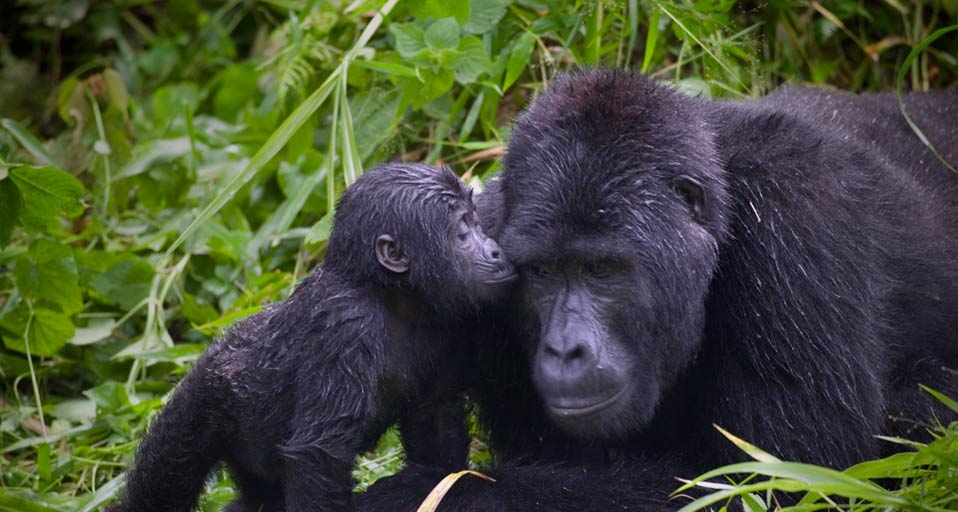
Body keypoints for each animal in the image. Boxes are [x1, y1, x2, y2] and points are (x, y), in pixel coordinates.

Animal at [107, 163, 516, 512]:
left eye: (476, 221)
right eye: (463, 231)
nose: (496, 250)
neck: (389, 293)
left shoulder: (446, 324)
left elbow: (436, 422)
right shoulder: (347, 328)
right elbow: (320, 454)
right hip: (202, 399)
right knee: (167, 473)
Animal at [360, 70, 958, 510]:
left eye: (602, 269)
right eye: (542, 273)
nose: (564, 349)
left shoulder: (798, 212)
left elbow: (777, 481)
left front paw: (435, 492)